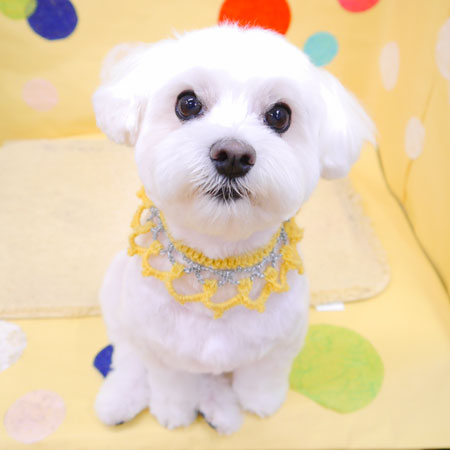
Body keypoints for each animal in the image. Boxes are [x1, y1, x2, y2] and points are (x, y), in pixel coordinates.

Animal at [93, 25, 374, 434]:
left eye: (280, 115)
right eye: (187, 103)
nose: (233, 155)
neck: (218, 266)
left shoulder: (282, 342)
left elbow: (263, 376)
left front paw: (261, 402)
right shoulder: (162, 348)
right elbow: (171, 381)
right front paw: (174, 411)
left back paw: (219, 408)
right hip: (117, 296)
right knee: (128, 354)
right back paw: (121, 398)